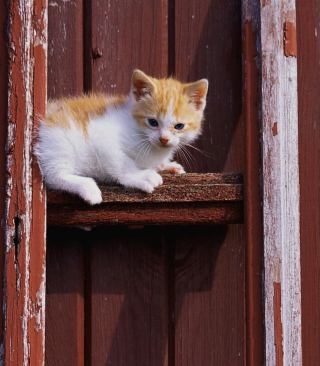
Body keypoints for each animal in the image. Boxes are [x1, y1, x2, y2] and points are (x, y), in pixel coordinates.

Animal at [35, 69, 209, 204]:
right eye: (152, 122)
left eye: (179, 126)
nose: (164, 139)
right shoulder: (103, 139)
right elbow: (122, 163)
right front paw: (141, 176)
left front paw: (166, 166)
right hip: (59, 140)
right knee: (54, 175)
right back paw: (87, 186)